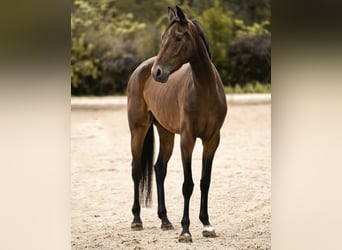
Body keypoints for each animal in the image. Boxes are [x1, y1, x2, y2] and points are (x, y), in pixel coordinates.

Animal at [126, 5, 227, 243]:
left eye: (178, 37)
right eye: (163, 37)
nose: (157, 72)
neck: (204, 91)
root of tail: (140, 69)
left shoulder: (212, 140)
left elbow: (205, 181)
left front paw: (207, 224)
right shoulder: (187, 140)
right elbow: (187, 184)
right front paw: (186, 230)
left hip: (166, 134)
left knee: (159, 169)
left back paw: (165, 220)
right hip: (138, 130)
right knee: (136, 169)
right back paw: (137, 220)